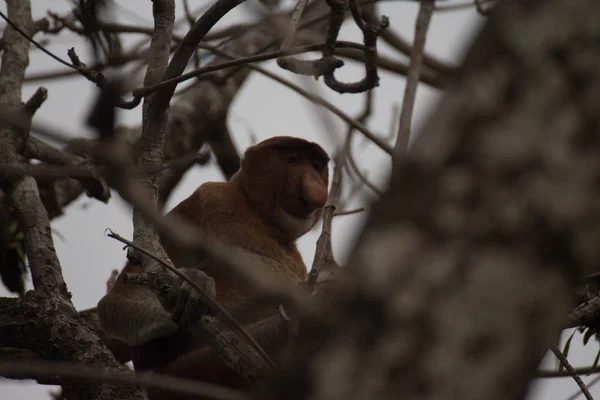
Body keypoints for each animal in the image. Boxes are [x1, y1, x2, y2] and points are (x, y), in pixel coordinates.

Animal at [99, 137, 332, 396]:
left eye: (316, 165)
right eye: (293, 160)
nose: (316, 187)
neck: (261, 218)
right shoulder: (210, 198)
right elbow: (119, 297)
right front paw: (194, 285)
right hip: (194, 372)